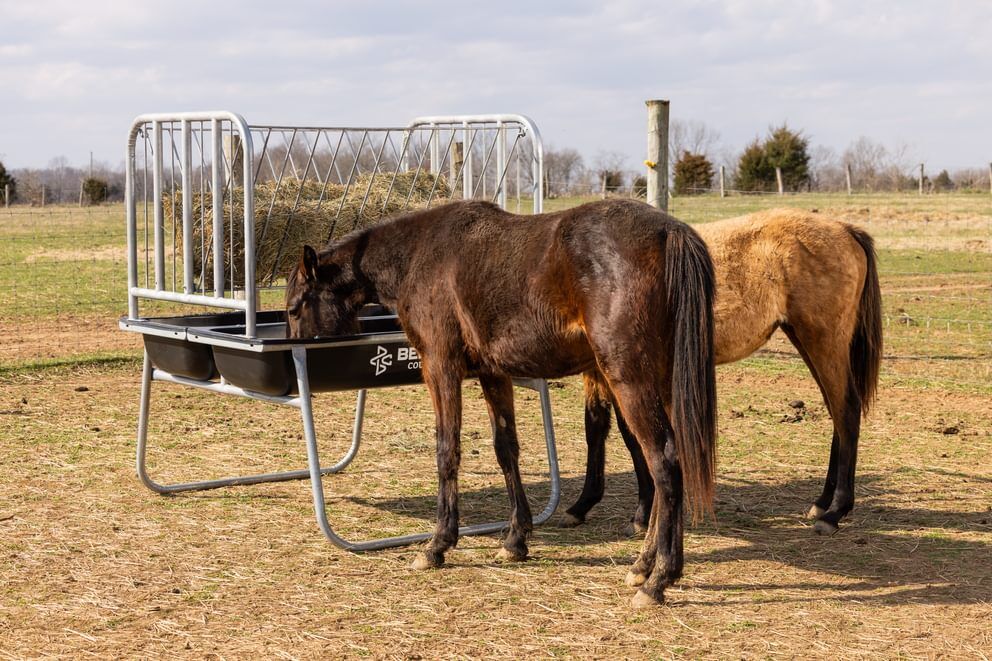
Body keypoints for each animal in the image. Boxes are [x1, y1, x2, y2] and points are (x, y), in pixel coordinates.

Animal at [285, 198, 718, 607]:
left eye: (293, 308)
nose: (296, 368)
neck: (419, 256)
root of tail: (668, 231)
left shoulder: (440, 366)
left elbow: (447, 450)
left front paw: (438, 543)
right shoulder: (492, 373)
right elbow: (505, 449)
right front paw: (515, 539)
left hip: (628, 379)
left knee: (663, 462)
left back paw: (659, 578)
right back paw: (644, 564)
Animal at [561, 208, 882, 537]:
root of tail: (844, 229)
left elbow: (630, 436)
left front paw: (639, 514)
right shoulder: (598, 372)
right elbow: (596, 427)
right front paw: (582, 505)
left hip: (824, 341)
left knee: (847, 411)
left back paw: (835, 512)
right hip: (805, 339)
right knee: (836, 412)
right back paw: (822, 502)